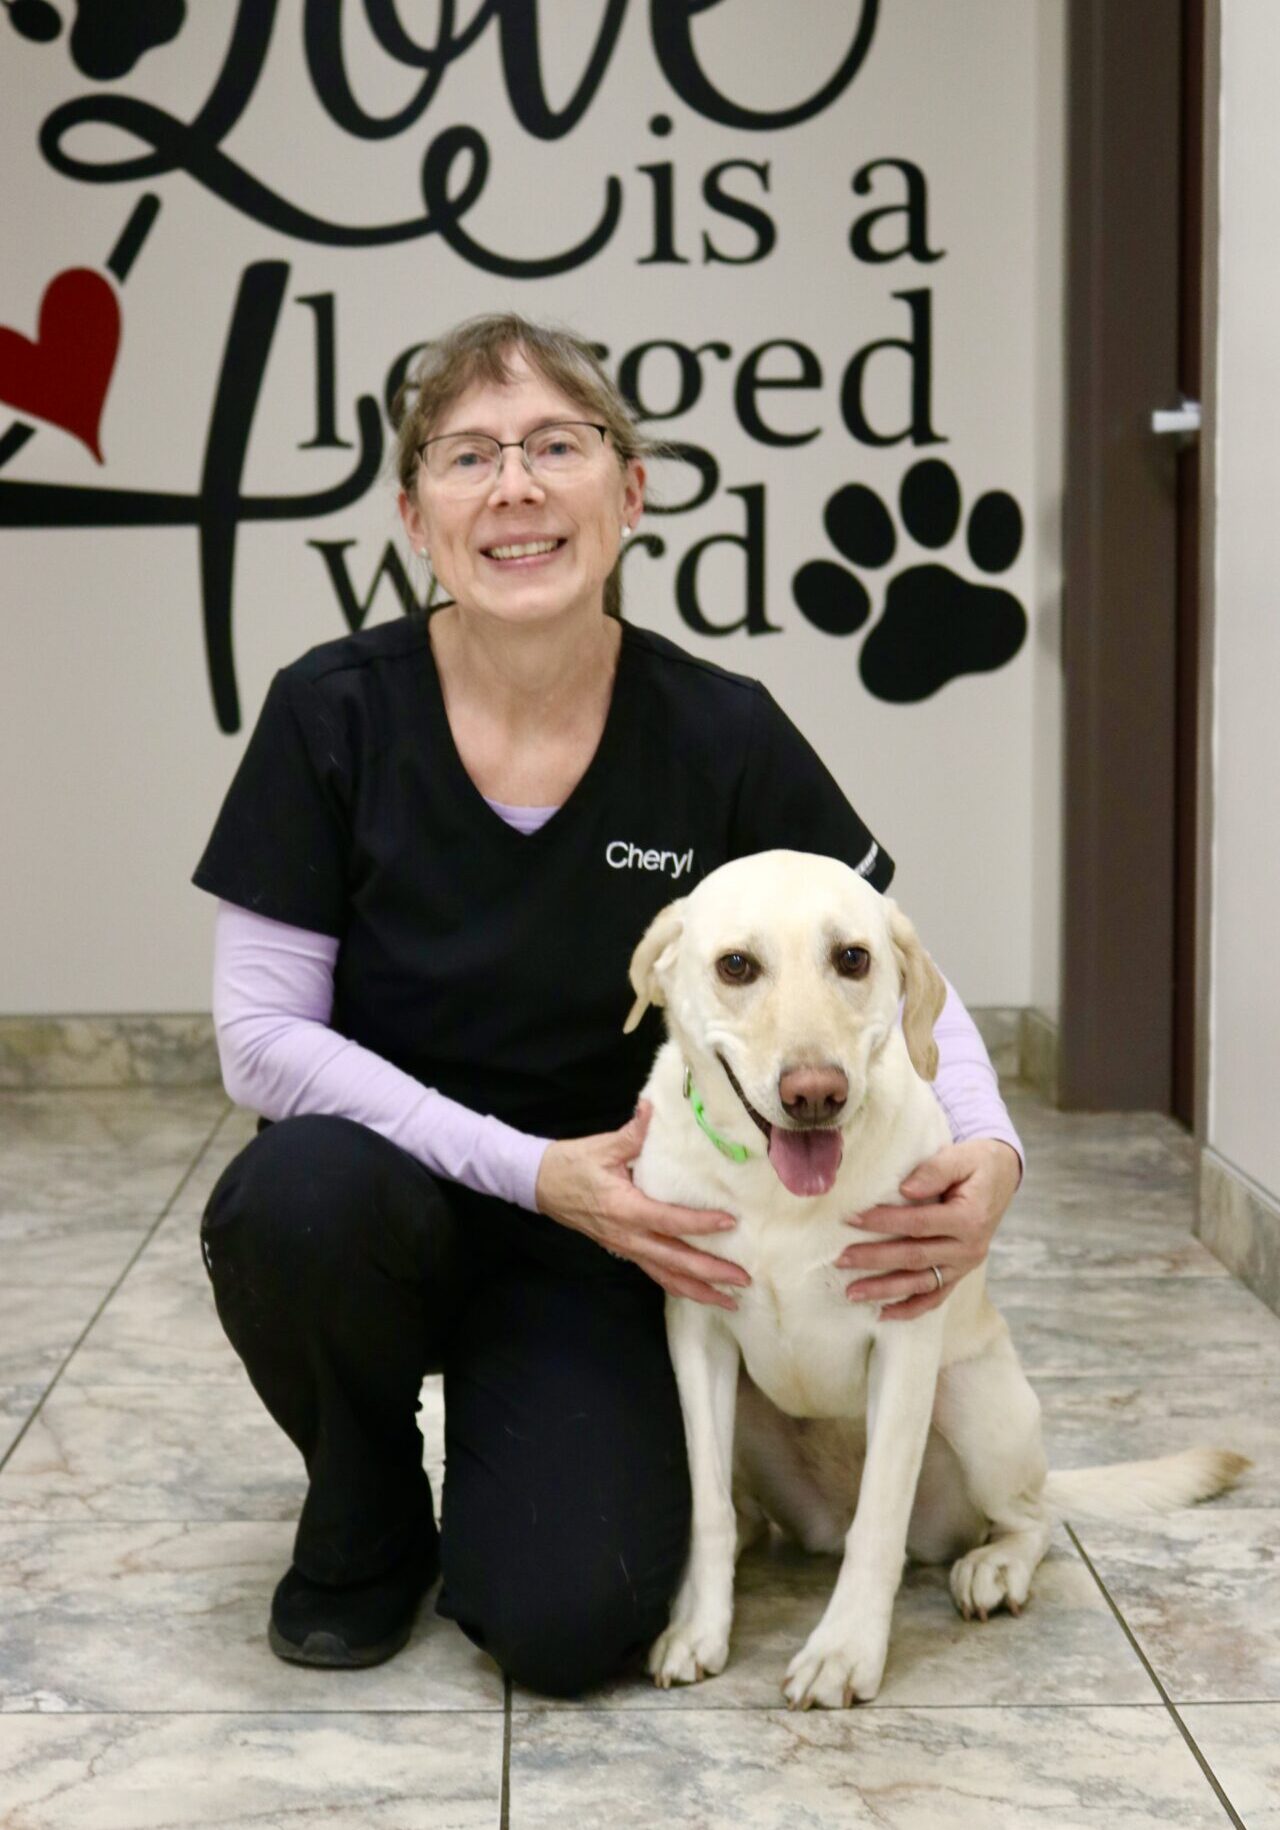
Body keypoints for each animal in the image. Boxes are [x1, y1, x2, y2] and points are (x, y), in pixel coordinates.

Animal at [629, 849, 1252, 1705]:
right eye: (736, 966)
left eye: (852, 958)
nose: (815, 1094)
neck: (777, 1193)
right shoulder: (698, 1331)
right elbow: (709, 1507)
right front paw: (699, 1626)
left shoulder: (904, 1335)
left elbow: (880, 1519)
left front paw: (845, 1650)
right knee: (747, 1514)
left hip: (975, 1404)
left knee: (1030, 1519)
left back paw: (993, 1567)